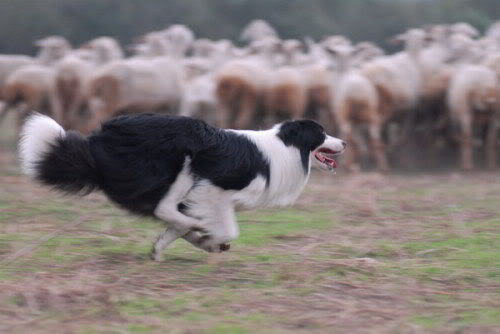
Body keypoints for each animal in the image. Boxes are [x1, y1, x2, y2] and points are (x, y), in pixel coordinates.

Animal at [21, 113, 346, 260]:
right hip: (184, 162)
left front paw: (169, 245)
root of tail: (100, 138)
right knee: (164, 207)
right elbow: (227, 229)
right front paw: (209, 237)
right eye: (322, 132)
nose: (344, 142)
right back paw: (198, 230)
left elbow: (176, 229)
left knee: (165, 212)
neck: (286, 147)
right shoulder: (212, 190)